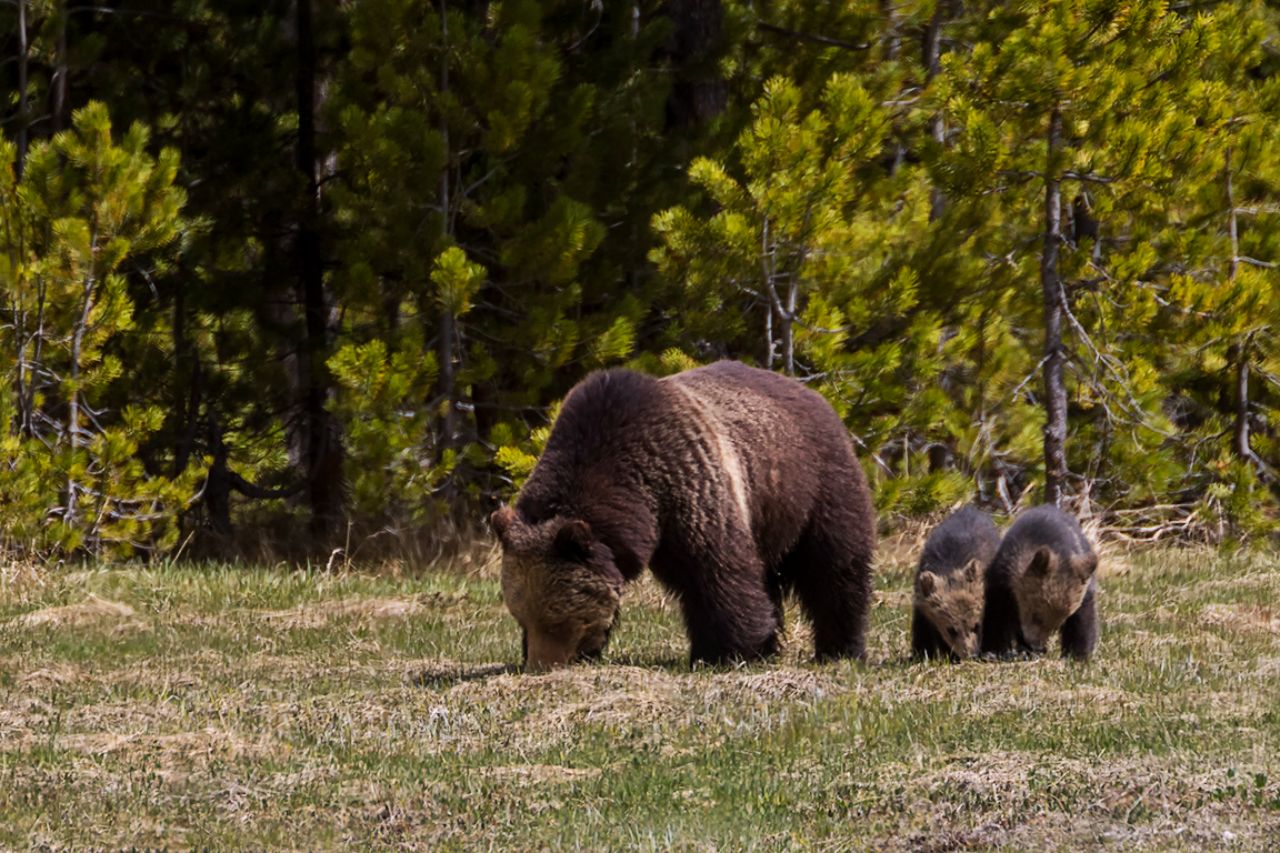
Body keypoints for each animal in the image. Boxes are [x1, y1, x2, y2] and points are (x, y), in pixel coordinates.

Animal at [490, 360, 877, 671]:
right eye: (522, 617)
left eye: (558, 619)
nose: (540, 665)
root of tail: (809, 391)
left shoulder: (689, 485)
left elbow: (716, 573)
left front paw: (726, 652)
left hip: (813, 487)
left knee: (834, 570)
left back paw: (840, 648)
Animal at [979, 504, 1099, 660]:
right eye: (1036, 614)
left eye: (1059, 622)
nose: (1035, 645)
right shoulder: (1002, 581)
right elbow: (996, 613)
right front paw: (993, 651)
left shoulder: (1082, 591)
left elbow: (1083, 621)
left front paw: (1077, 655)